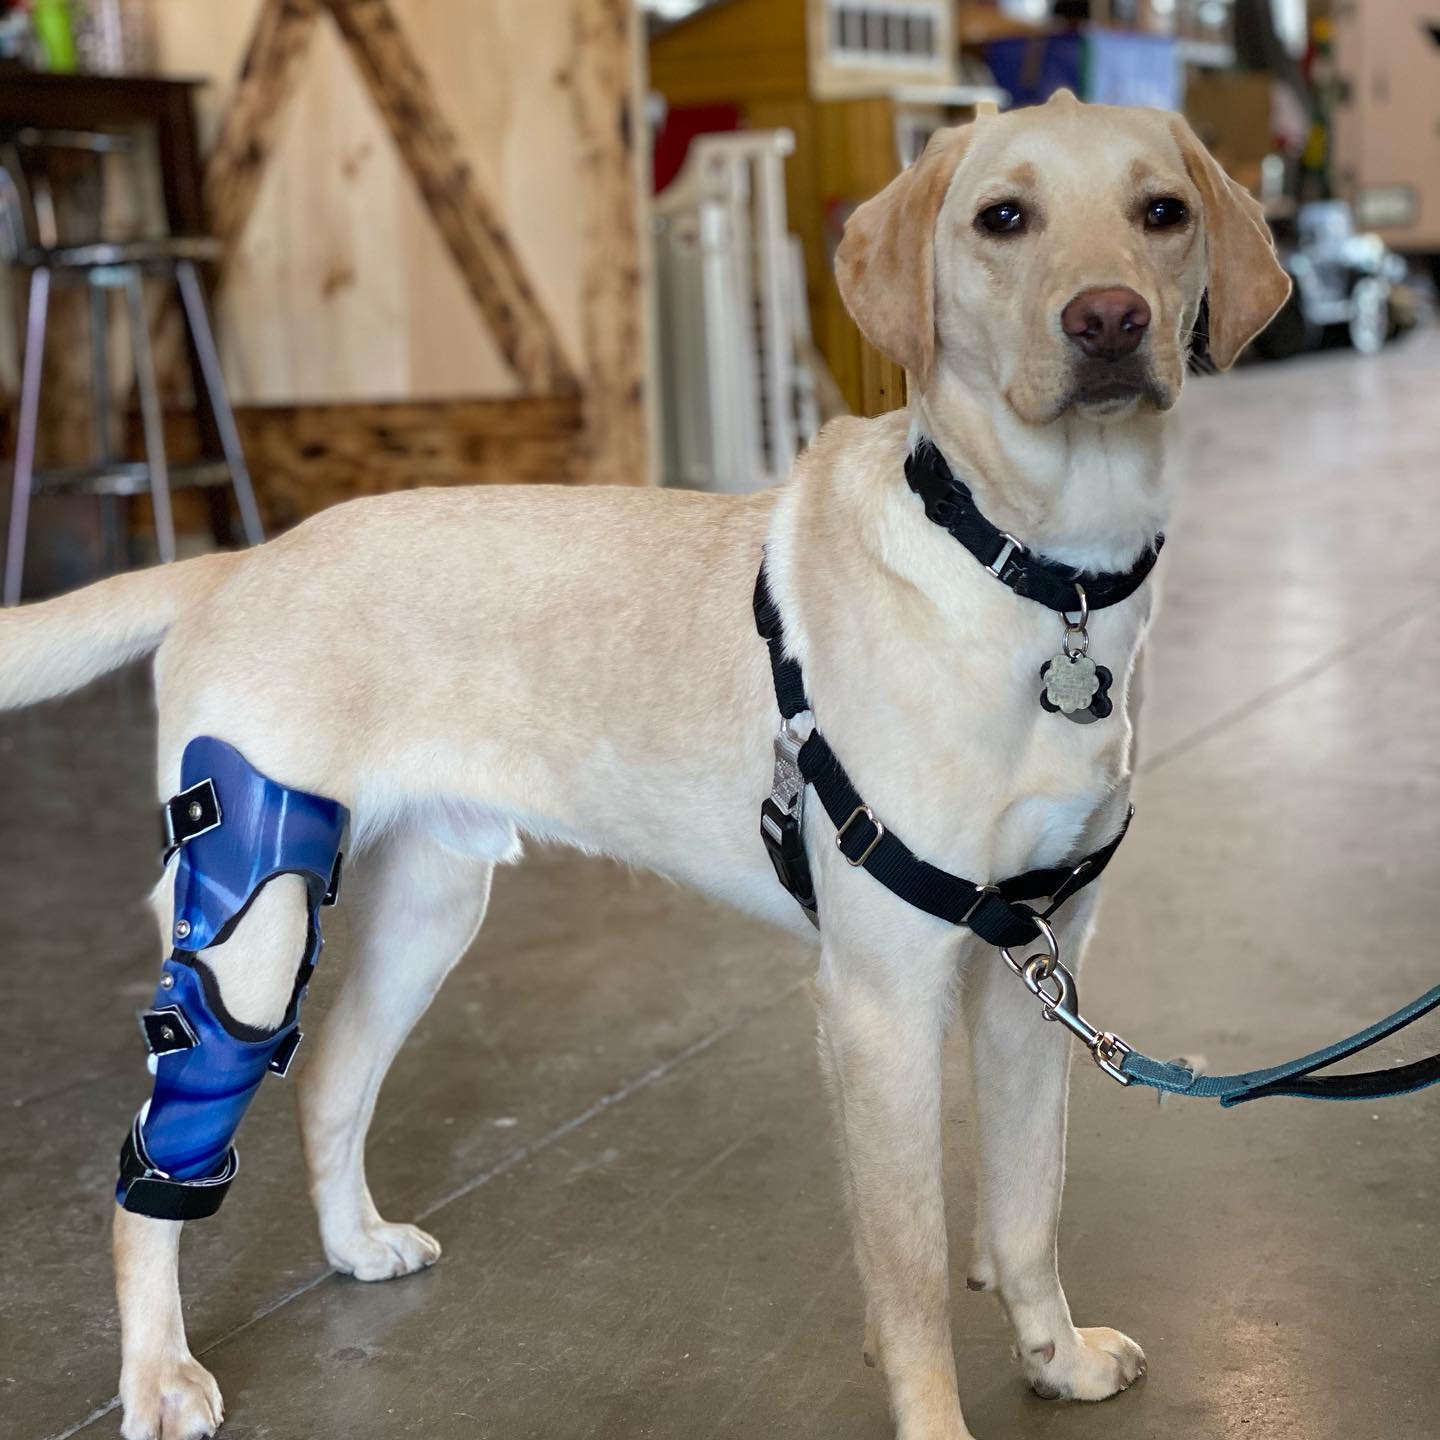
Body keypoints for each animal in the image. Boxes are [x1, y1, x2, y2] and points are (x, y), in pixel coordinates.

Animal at [0, 90, 1284, 1440]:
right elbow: (913, 1273)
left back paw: (352, 1244)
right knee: (154, 1170)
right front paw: (940, 1417)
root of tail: (238, 561)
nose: (1110, 320)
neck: (1034, 573)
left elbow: (1028, 1210)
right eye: (1003, 218)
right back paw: (157, 1371)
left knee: (332, 1081)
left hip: (429, 910)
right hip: (252, 923)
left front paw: (1056, 1356)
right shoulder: (881, 1004)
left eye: (1164, 212)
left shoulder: (1038, 972)